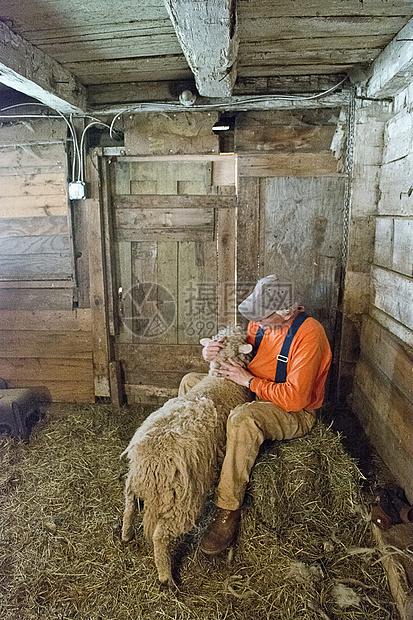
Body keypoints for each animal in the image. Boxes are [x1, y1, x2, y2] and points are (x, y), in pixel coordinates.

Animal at [120, 326, 251, 588]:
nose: (244, 328)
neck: (223, 381)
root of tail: (151, 460)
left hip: (134, 481)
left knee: (129, 507)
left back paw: (126, 535)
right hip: (182, 499)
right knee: (161, 535)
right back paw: (167, 578)